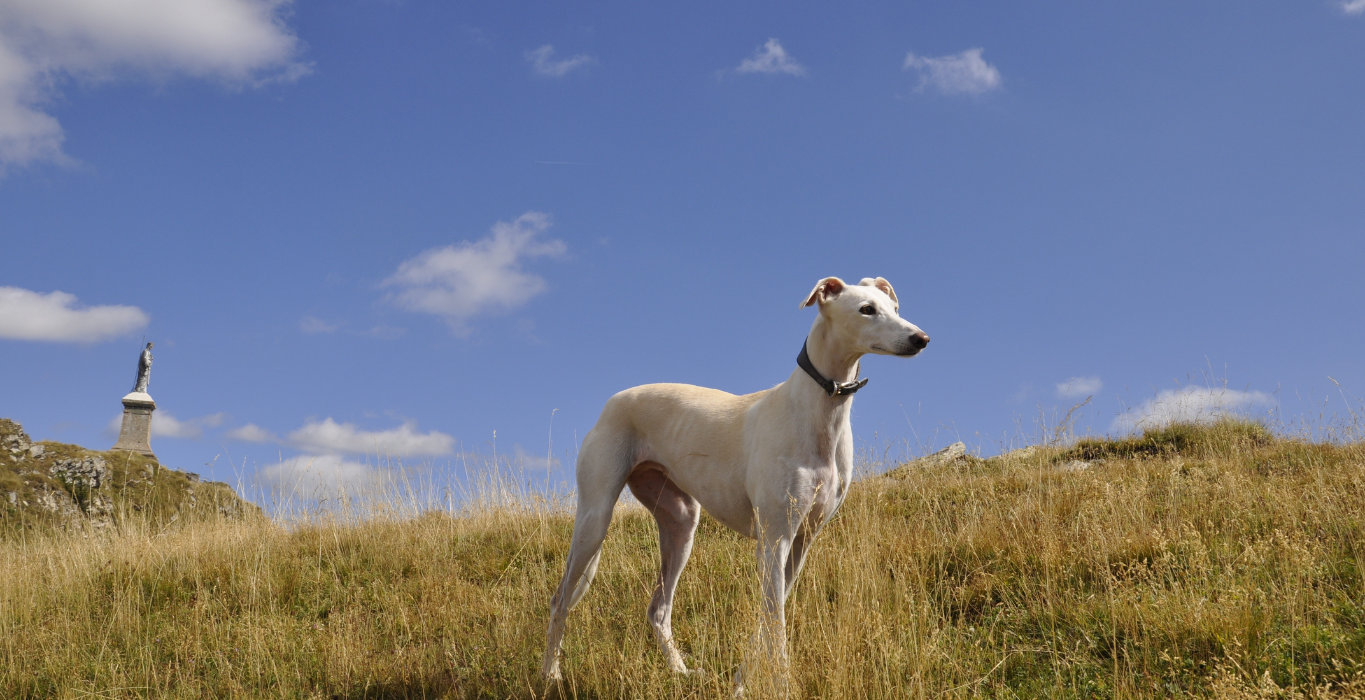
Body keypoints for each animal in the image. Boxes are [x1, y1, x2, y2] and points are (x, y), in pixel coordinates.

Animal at [535, 274, 928, 687]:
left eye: (894, 308)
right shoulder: (774, 540)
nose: (921, 338)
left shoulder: (802, 542)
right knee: (560, 600)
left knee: (658, 609)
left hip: (680, 525)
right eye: (866, 309)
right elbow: (775, 624)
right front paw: (782, 686)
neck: (817, 411)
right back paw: (550, 672)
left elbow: (767, 618)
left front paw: (741, 681)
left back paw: (680, 670)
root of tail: (612, 401)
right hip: (594, 520)